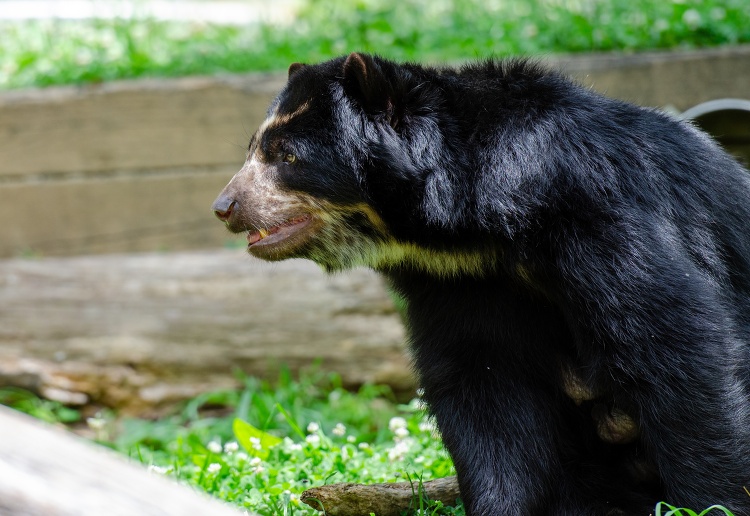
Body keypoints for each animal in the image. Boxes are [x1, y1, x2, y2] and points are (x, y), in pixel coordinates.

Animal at [210, 53, 750, 516]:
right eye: (254, 150)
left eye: (288, 156)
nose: (225, 206)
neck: (481, 230)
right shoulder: (462, 284)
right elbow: (484, 390)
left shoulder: (604, 215)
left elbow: (675, 348)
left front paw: (716, 504)